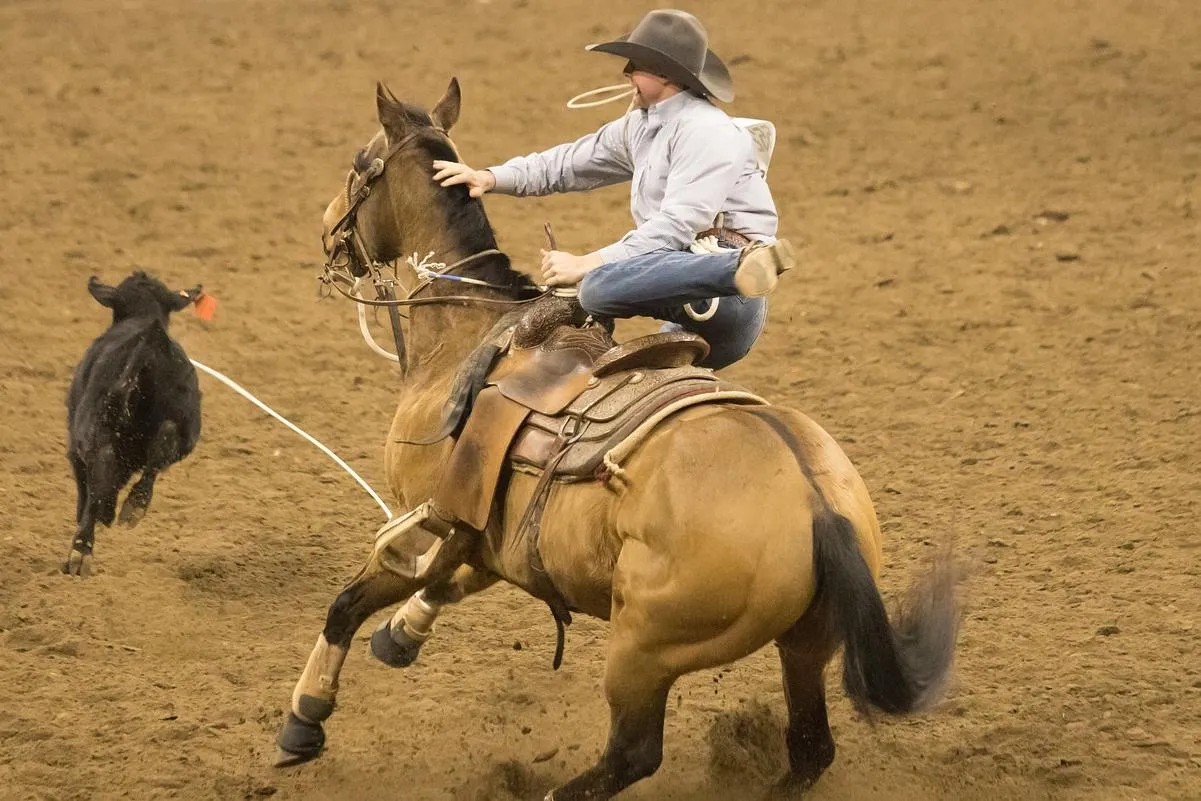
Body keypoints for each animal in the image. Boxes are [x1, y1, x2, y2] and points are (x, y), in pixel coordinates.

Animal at [276, 81, 960, 801]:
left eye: (360, 162)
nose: (327, 227)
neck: (469, 333)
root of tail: (818, 505)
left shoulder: (427, 516)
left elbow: (346, 605)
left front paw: (305, 717)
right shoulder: (482, 533)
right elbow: (451, 582)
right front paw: (401, 634)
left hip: (644, 649)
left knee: (632, 753)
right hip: (806, 641)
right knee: (807, 748)